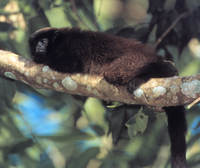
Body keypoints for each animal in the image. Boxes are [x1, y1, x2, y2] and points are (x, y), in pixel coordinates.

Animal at [28, 26, 187, 167]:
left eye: (43, 41)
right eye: (36, 42)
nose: (38, 47)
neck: (58, 41)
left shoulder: (67, 48)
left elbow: (64, 63)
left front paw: (39, 59)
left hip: (135, 59)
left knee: (114, 72)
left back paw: (154, 72)